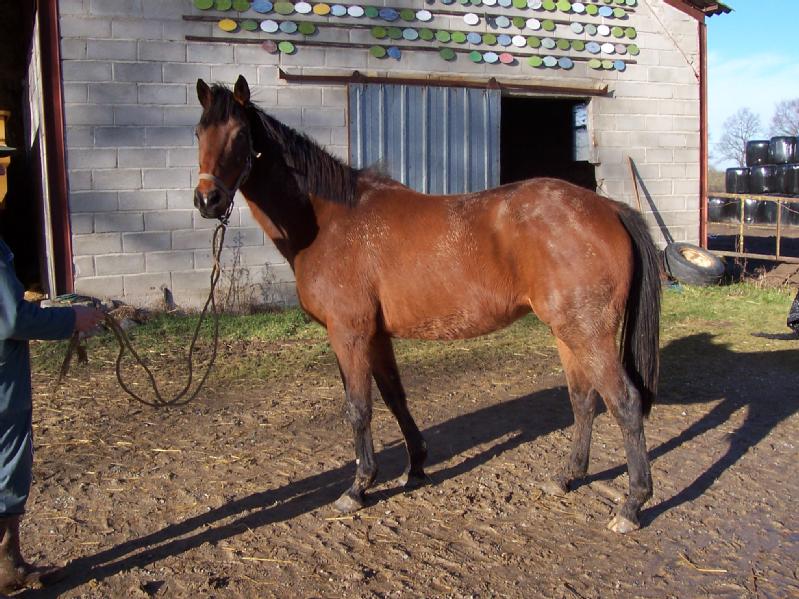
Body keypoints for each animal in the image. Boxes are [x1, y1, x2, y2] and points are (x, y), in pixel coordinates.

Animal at [193, 75, 661, 534]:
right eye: (199, 132)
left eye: (239, 135)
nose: (206, 200)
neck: (328, 221)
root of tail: (608, 208)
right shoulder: (376, 336)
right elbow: (395, 397)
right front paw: (415, 467)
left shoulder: (349, 333)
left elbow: (358, 408)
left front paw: (358, 488)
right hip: (567, 332)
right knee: (583, 400)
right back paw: (566, 477)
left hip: (588, 333)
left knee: (624, 402)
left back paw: (632, 505)